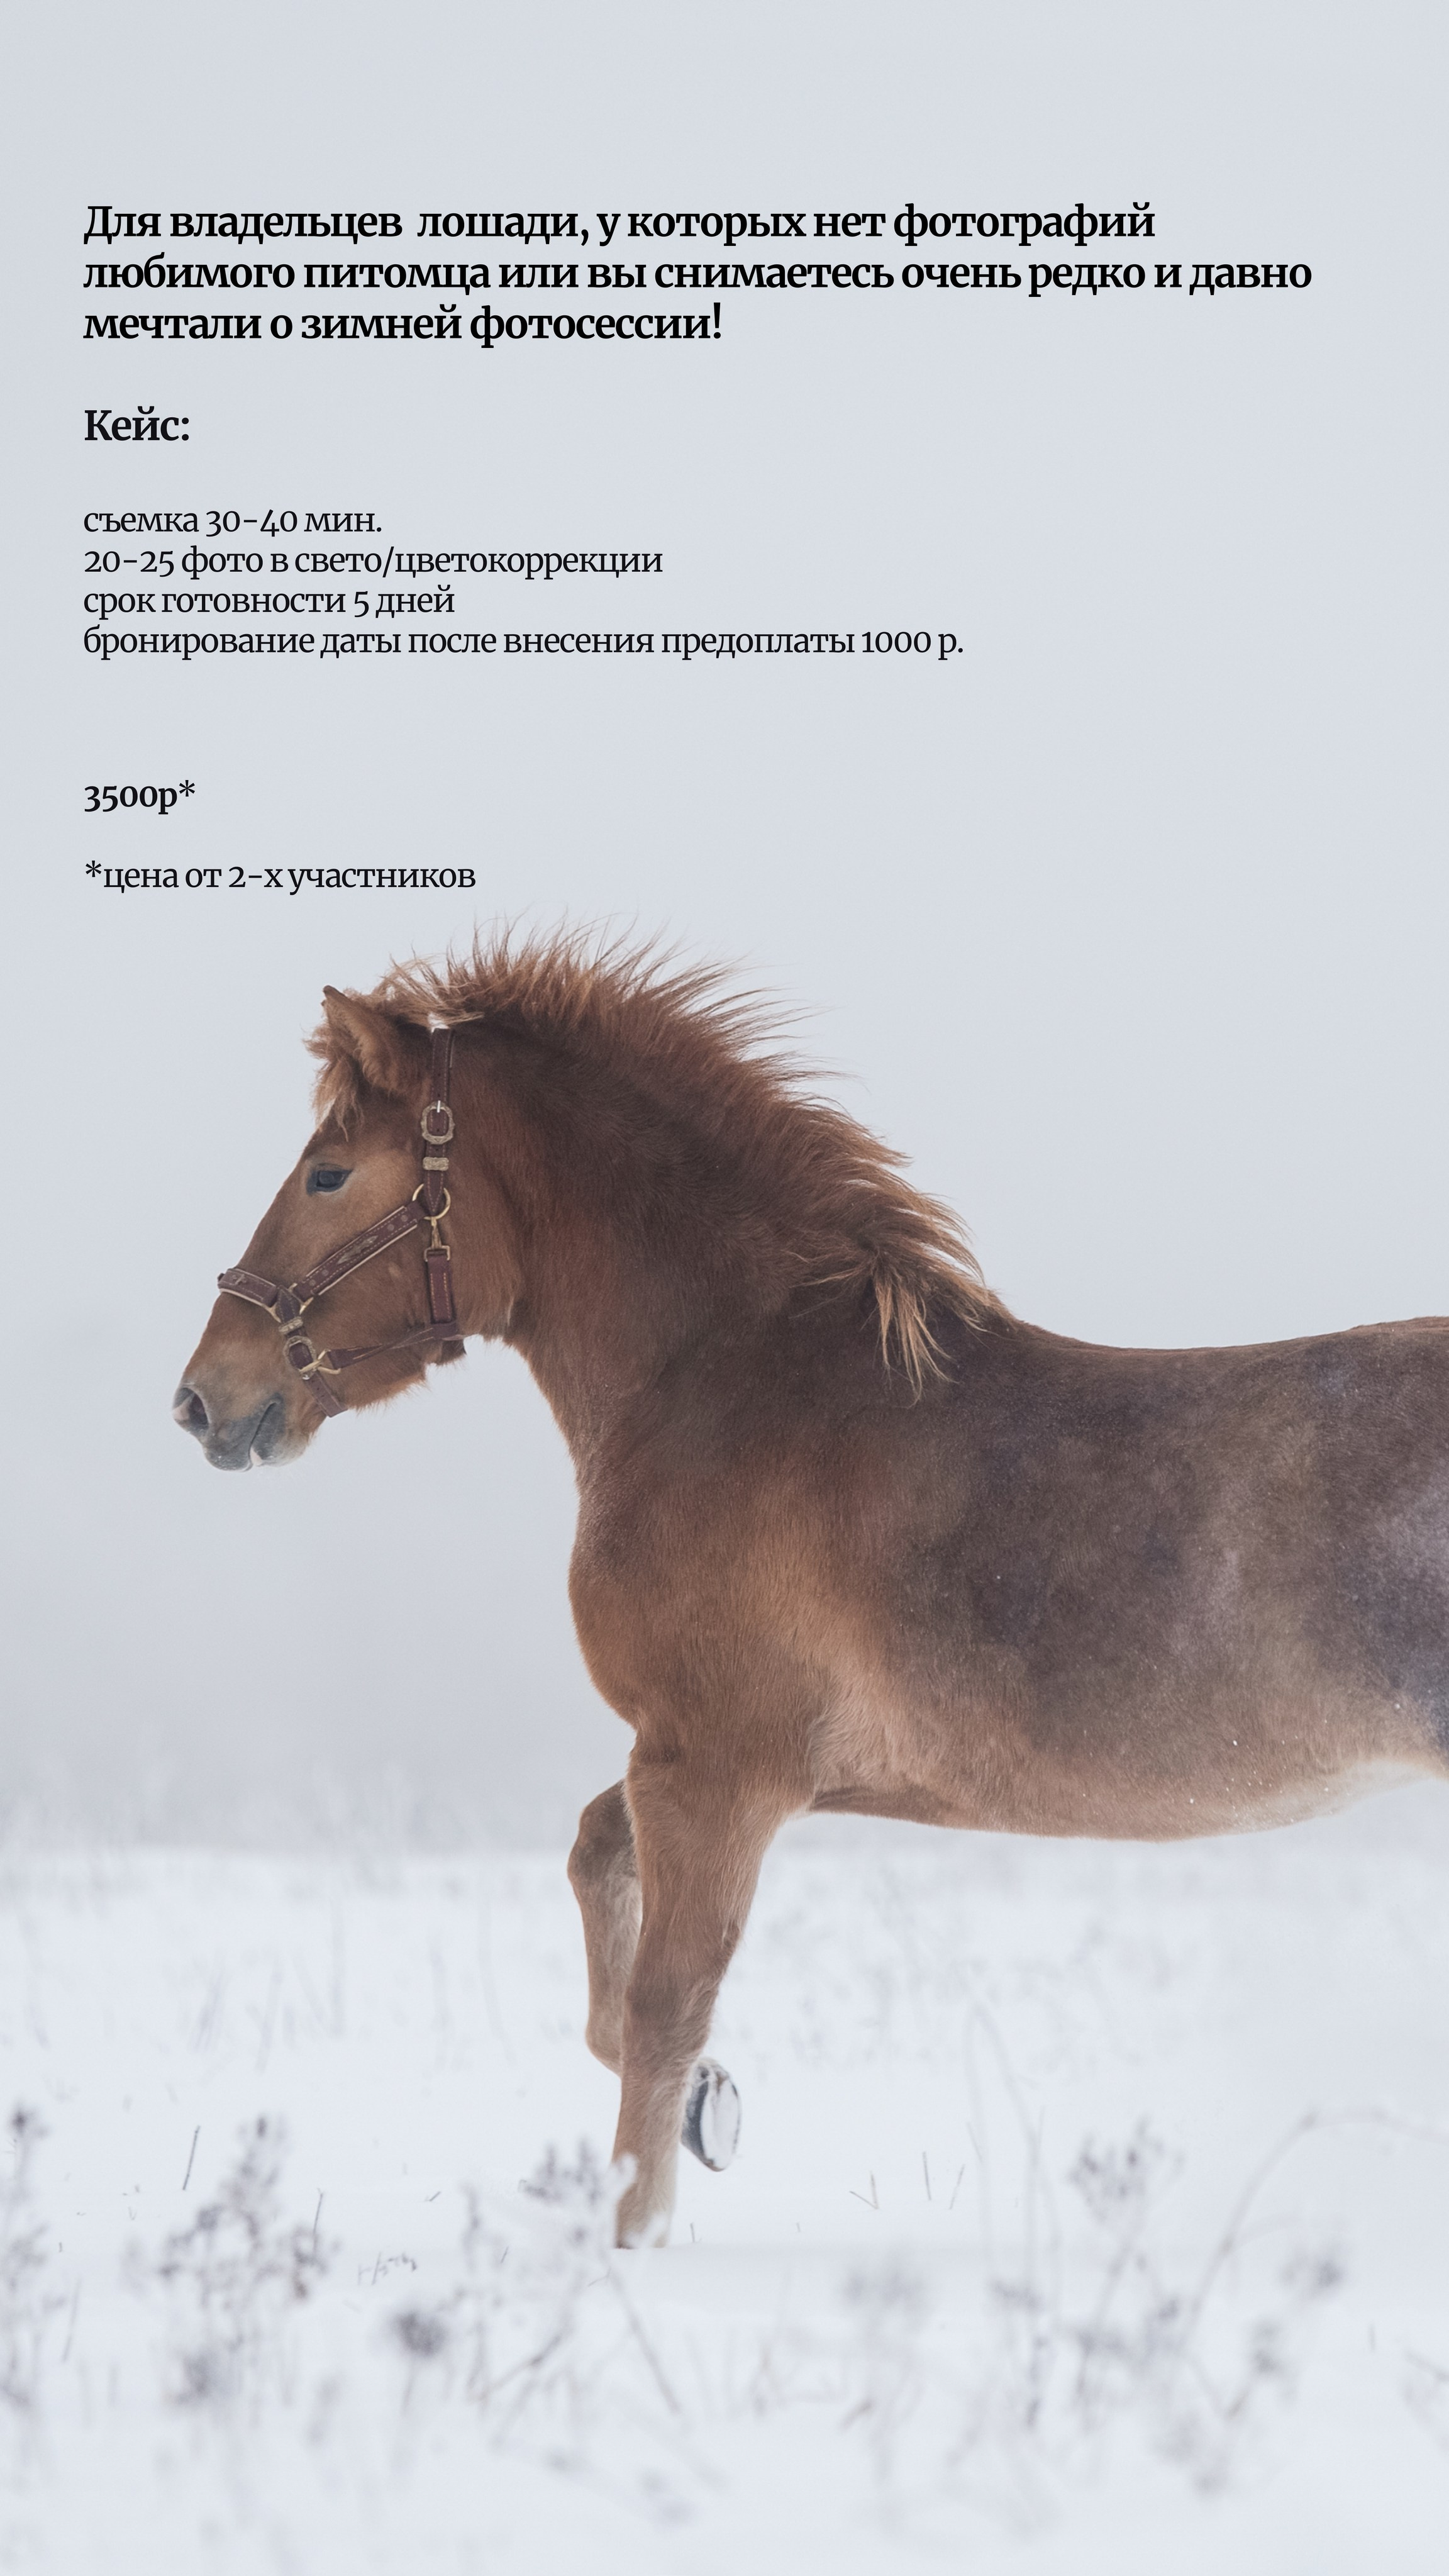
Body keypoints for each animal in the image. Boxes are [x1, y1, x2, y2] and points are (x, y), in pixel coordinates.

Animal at [175, 933, 1449, 2245]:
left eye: (328, 1174)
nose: (205, 1399)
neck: (736, 1385)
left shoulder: (713, 1769)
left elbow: (662, 2008)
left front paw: (635, 2236)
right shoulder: (725, 1762)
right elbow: (598, 1879)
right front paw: (711, 2108)